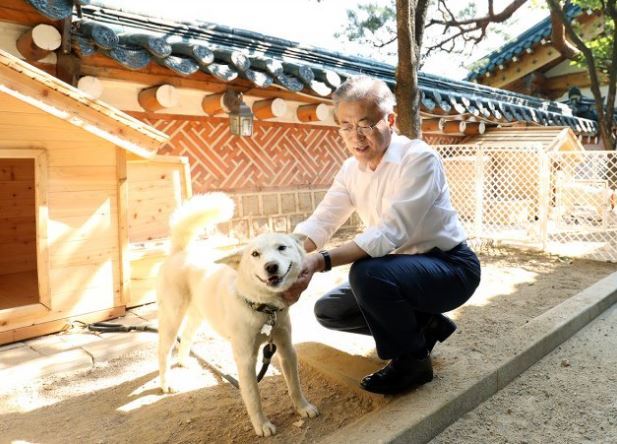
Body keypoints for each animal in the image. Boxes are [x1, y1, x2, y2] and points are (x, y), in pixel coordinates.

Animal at [156, 193, 320, 438]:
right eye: (255, 254)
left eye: (282, 247)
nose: (271, 266)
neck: (263, 308)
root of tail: (181, 251)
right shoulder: (245, 360)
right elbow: (253, 397)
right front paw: (262, 425)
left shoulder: (285, 348)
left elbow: (294, 386)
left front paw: (303, 407)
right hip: (172, 317)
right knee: (164, 351)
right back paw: (166, 382)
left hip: (199, 315)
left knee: (186, 336)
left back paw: (184, 360)